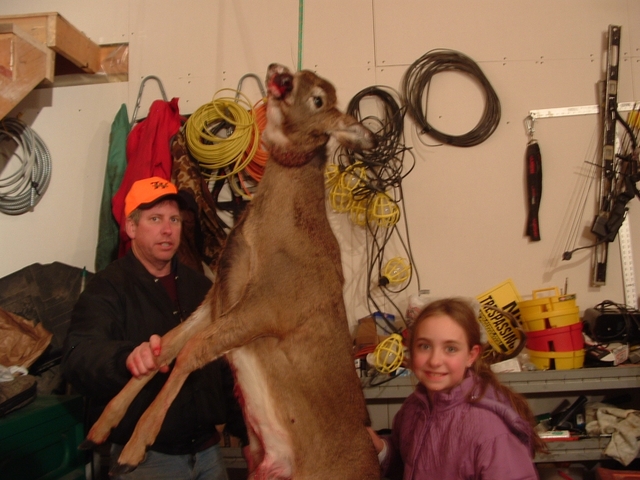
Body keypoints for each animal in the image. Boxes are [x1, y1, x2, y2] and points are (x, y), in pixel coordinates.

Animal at [81, 63, 381, 480]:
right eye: (302, 73)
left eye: (319, 99)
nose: (279, 73)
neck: (267, 238)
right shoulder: (218, 296)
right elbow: (165, 347)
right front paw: (102, 425)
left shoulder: (273, 306)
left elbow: (191, 350)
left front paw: (136, 445)